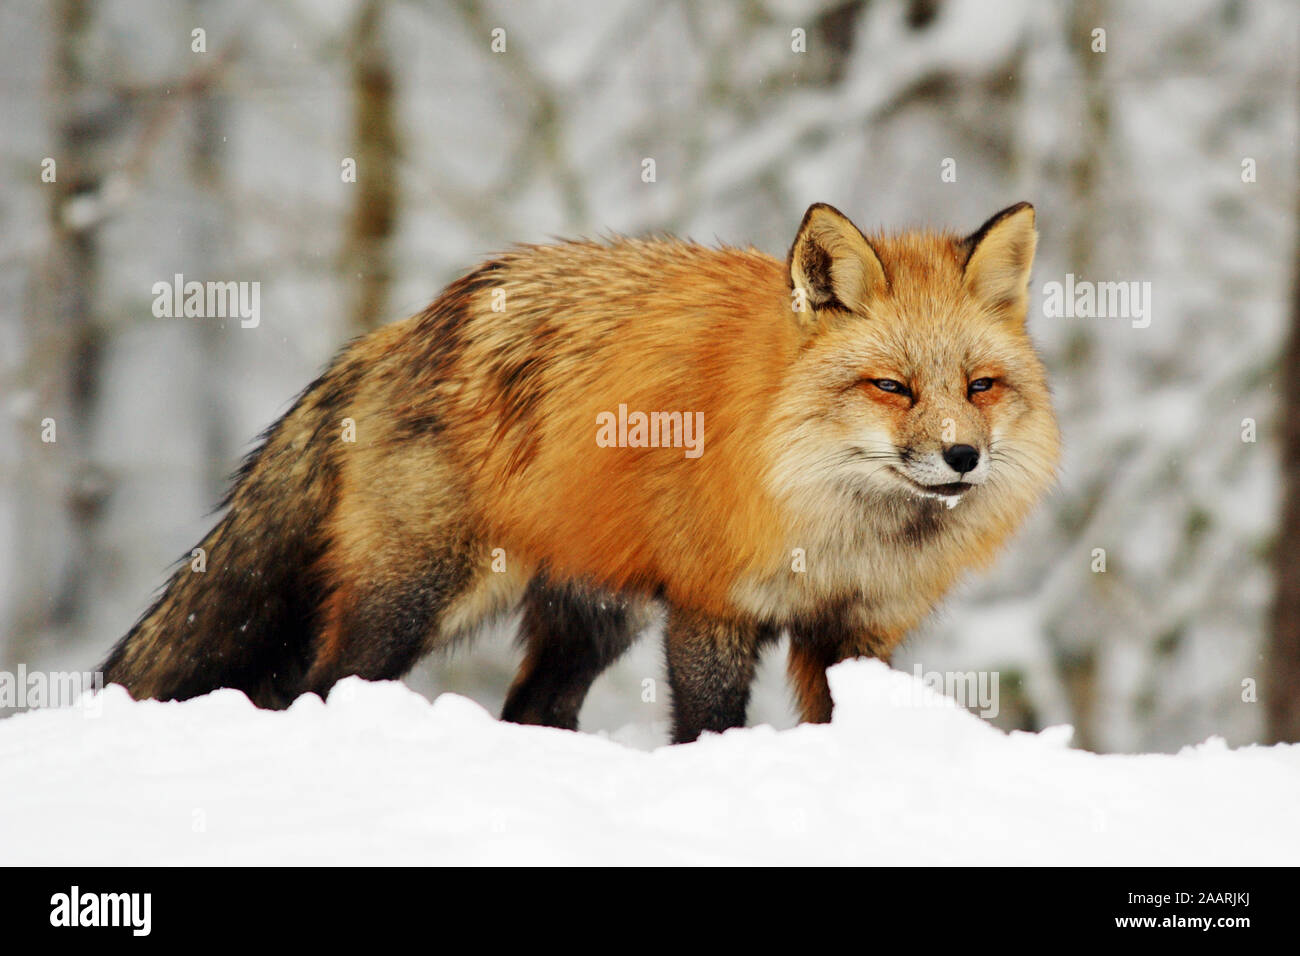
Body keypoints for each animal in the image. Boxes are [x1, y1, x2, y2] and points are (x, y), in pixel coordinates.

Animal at [101, 200, 1055, 738]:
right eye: (892, 386)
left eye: (980, 386)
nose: (962, 456)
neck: (844, 531)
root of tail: (399, 329)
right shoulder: (710, 609)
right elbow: (709, 728)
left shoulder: (858, 632)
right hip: (416, 597)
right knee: (318, 685)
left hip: (594, 614)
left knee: (536, 710)